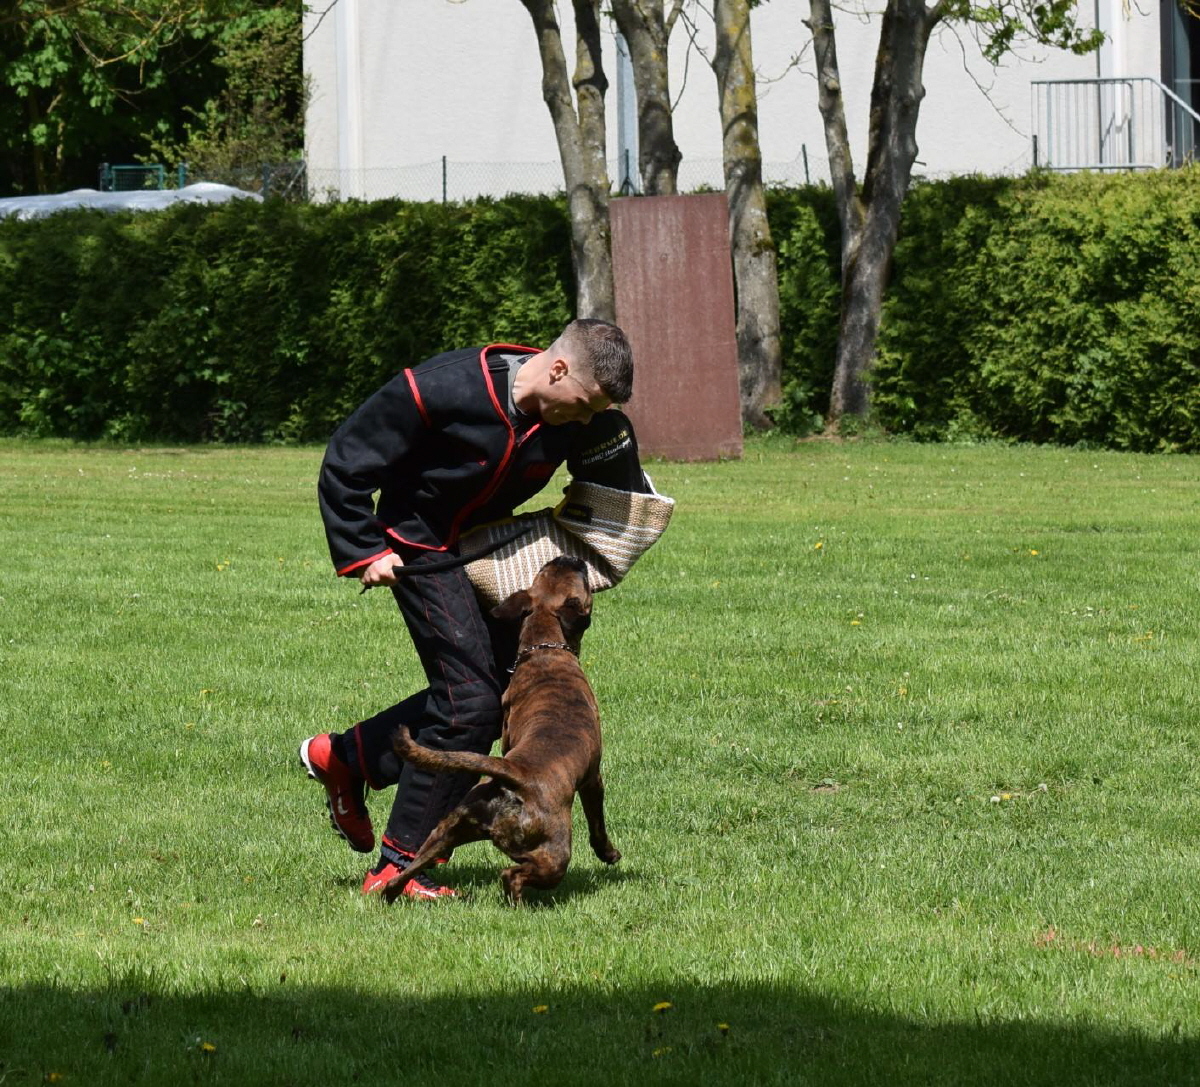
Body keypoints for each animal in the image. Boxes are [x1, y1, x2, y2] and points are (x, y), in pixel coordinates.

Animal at [382, 556, 621, 904]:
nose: (570, 557)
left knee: (404, 872)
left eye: (545, 570)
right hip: (554, 853)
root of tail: (515, 775)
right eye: (584, 580)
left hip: (444, 833)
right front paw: (609, 854)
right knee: (513, 875)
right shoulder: (593, 779)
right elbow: (598, 824)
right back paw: (519, 903)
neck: (545, 651)